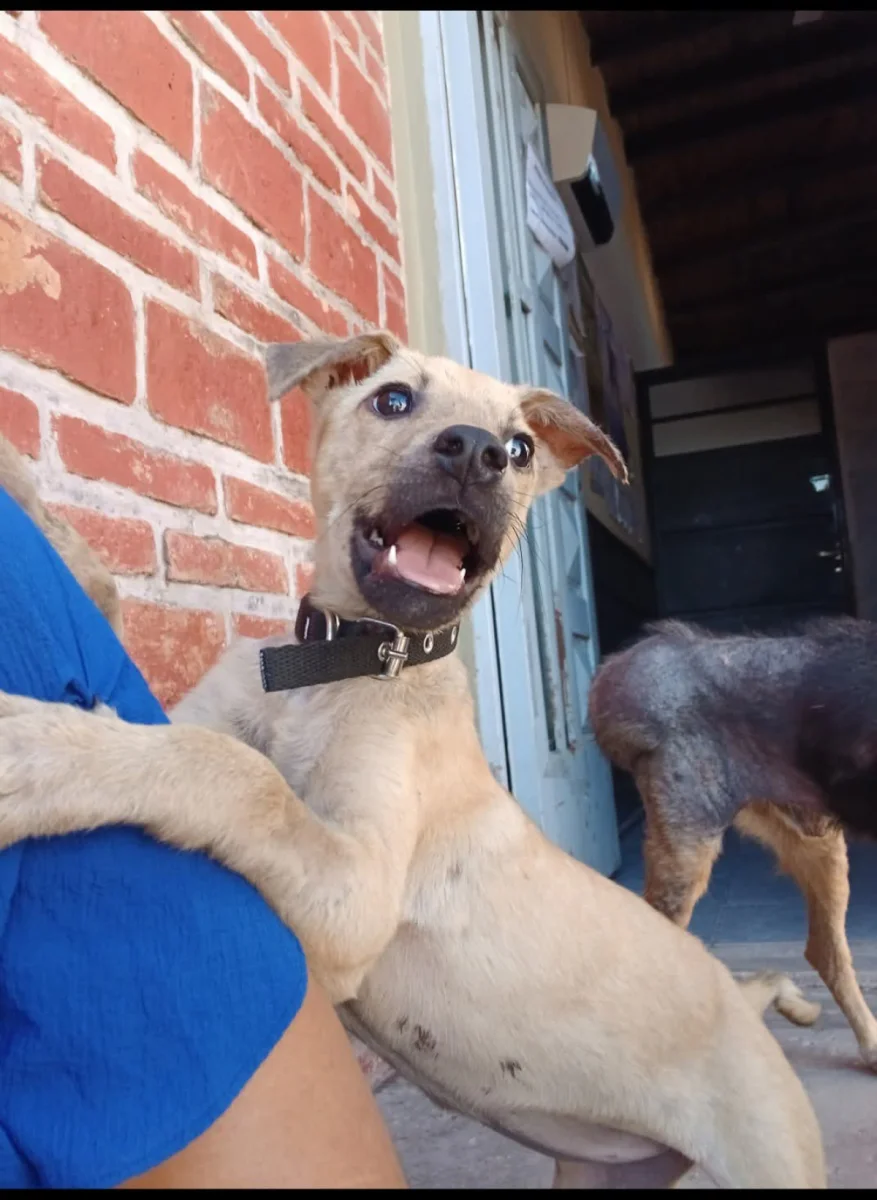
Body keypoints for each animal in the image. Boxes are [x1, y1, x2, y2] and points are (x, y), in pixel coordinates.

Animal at [0, 336, 826, 1188]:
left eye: (520, 449)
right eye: (392, 400)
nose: (477, 452)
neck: (346, 664)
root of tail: (738, 1002)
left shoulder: (354, 897)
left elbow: (242, 776)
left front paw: (34, 752)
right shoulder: (180, 716)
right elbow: (143, 658)